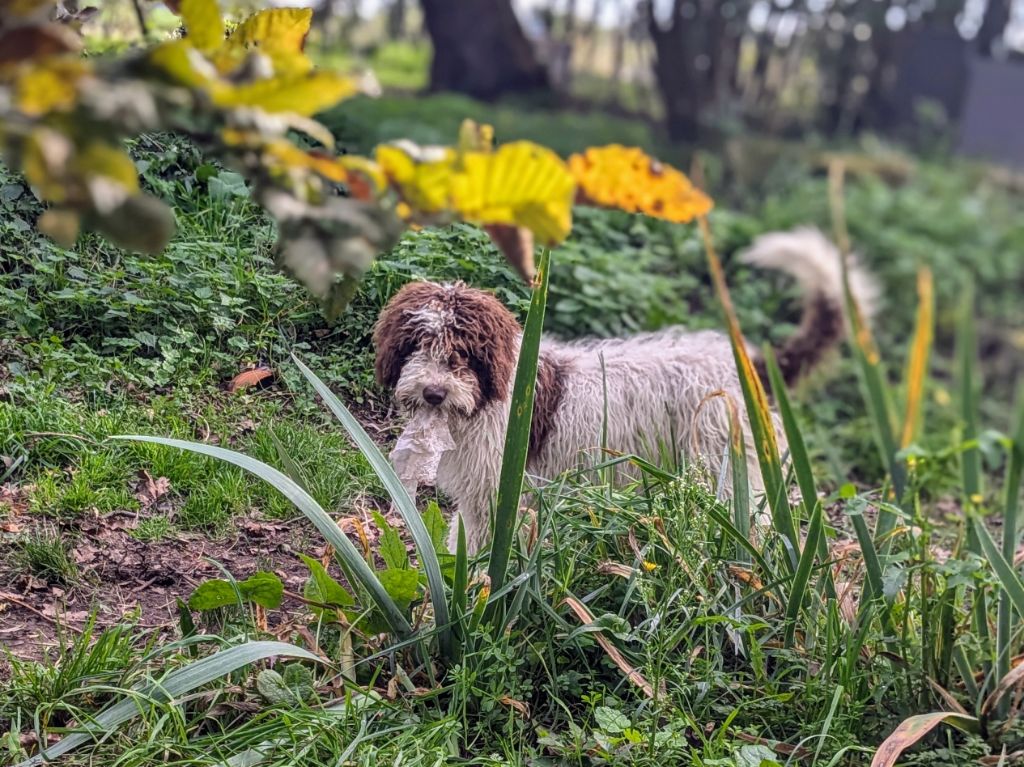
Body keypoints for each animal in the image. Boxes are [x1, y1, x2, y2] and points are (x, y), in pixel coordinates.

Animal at [372, 224, 876, 552]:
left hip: (721, 463)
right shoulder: (482, 494)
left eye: (460, 352)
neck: (494, 394)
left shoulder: (501, 489)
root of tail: (752, 367)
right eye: (418, 344)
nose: (434, 393)